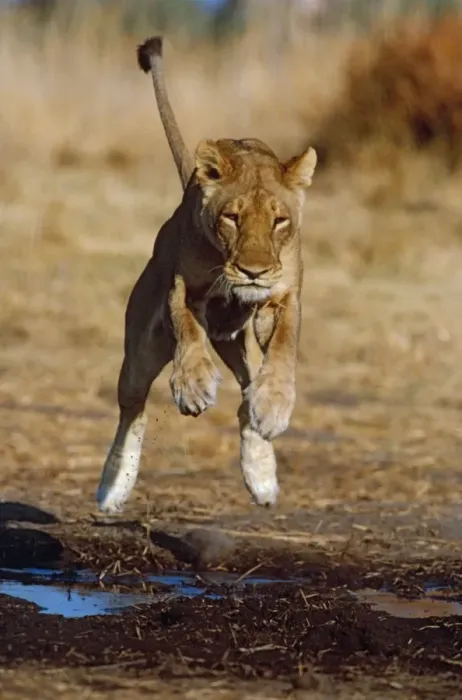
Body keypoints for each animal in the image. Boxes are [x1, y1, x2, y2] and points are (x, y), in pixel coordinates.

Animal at [96, 36, 317, 514]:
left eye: (280, 221)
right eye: (232, 217)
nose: (253, 271)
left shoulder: (283, 297)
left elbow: (283, 350)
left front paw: (274, 407)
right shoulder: (183, 286)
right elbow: (187, 330)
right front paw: (193, 386)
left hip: (235, 341)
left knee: (246, 395)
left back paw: (261, 473)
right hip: (142, 347)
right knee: (132, 407)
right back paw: (113, 487)